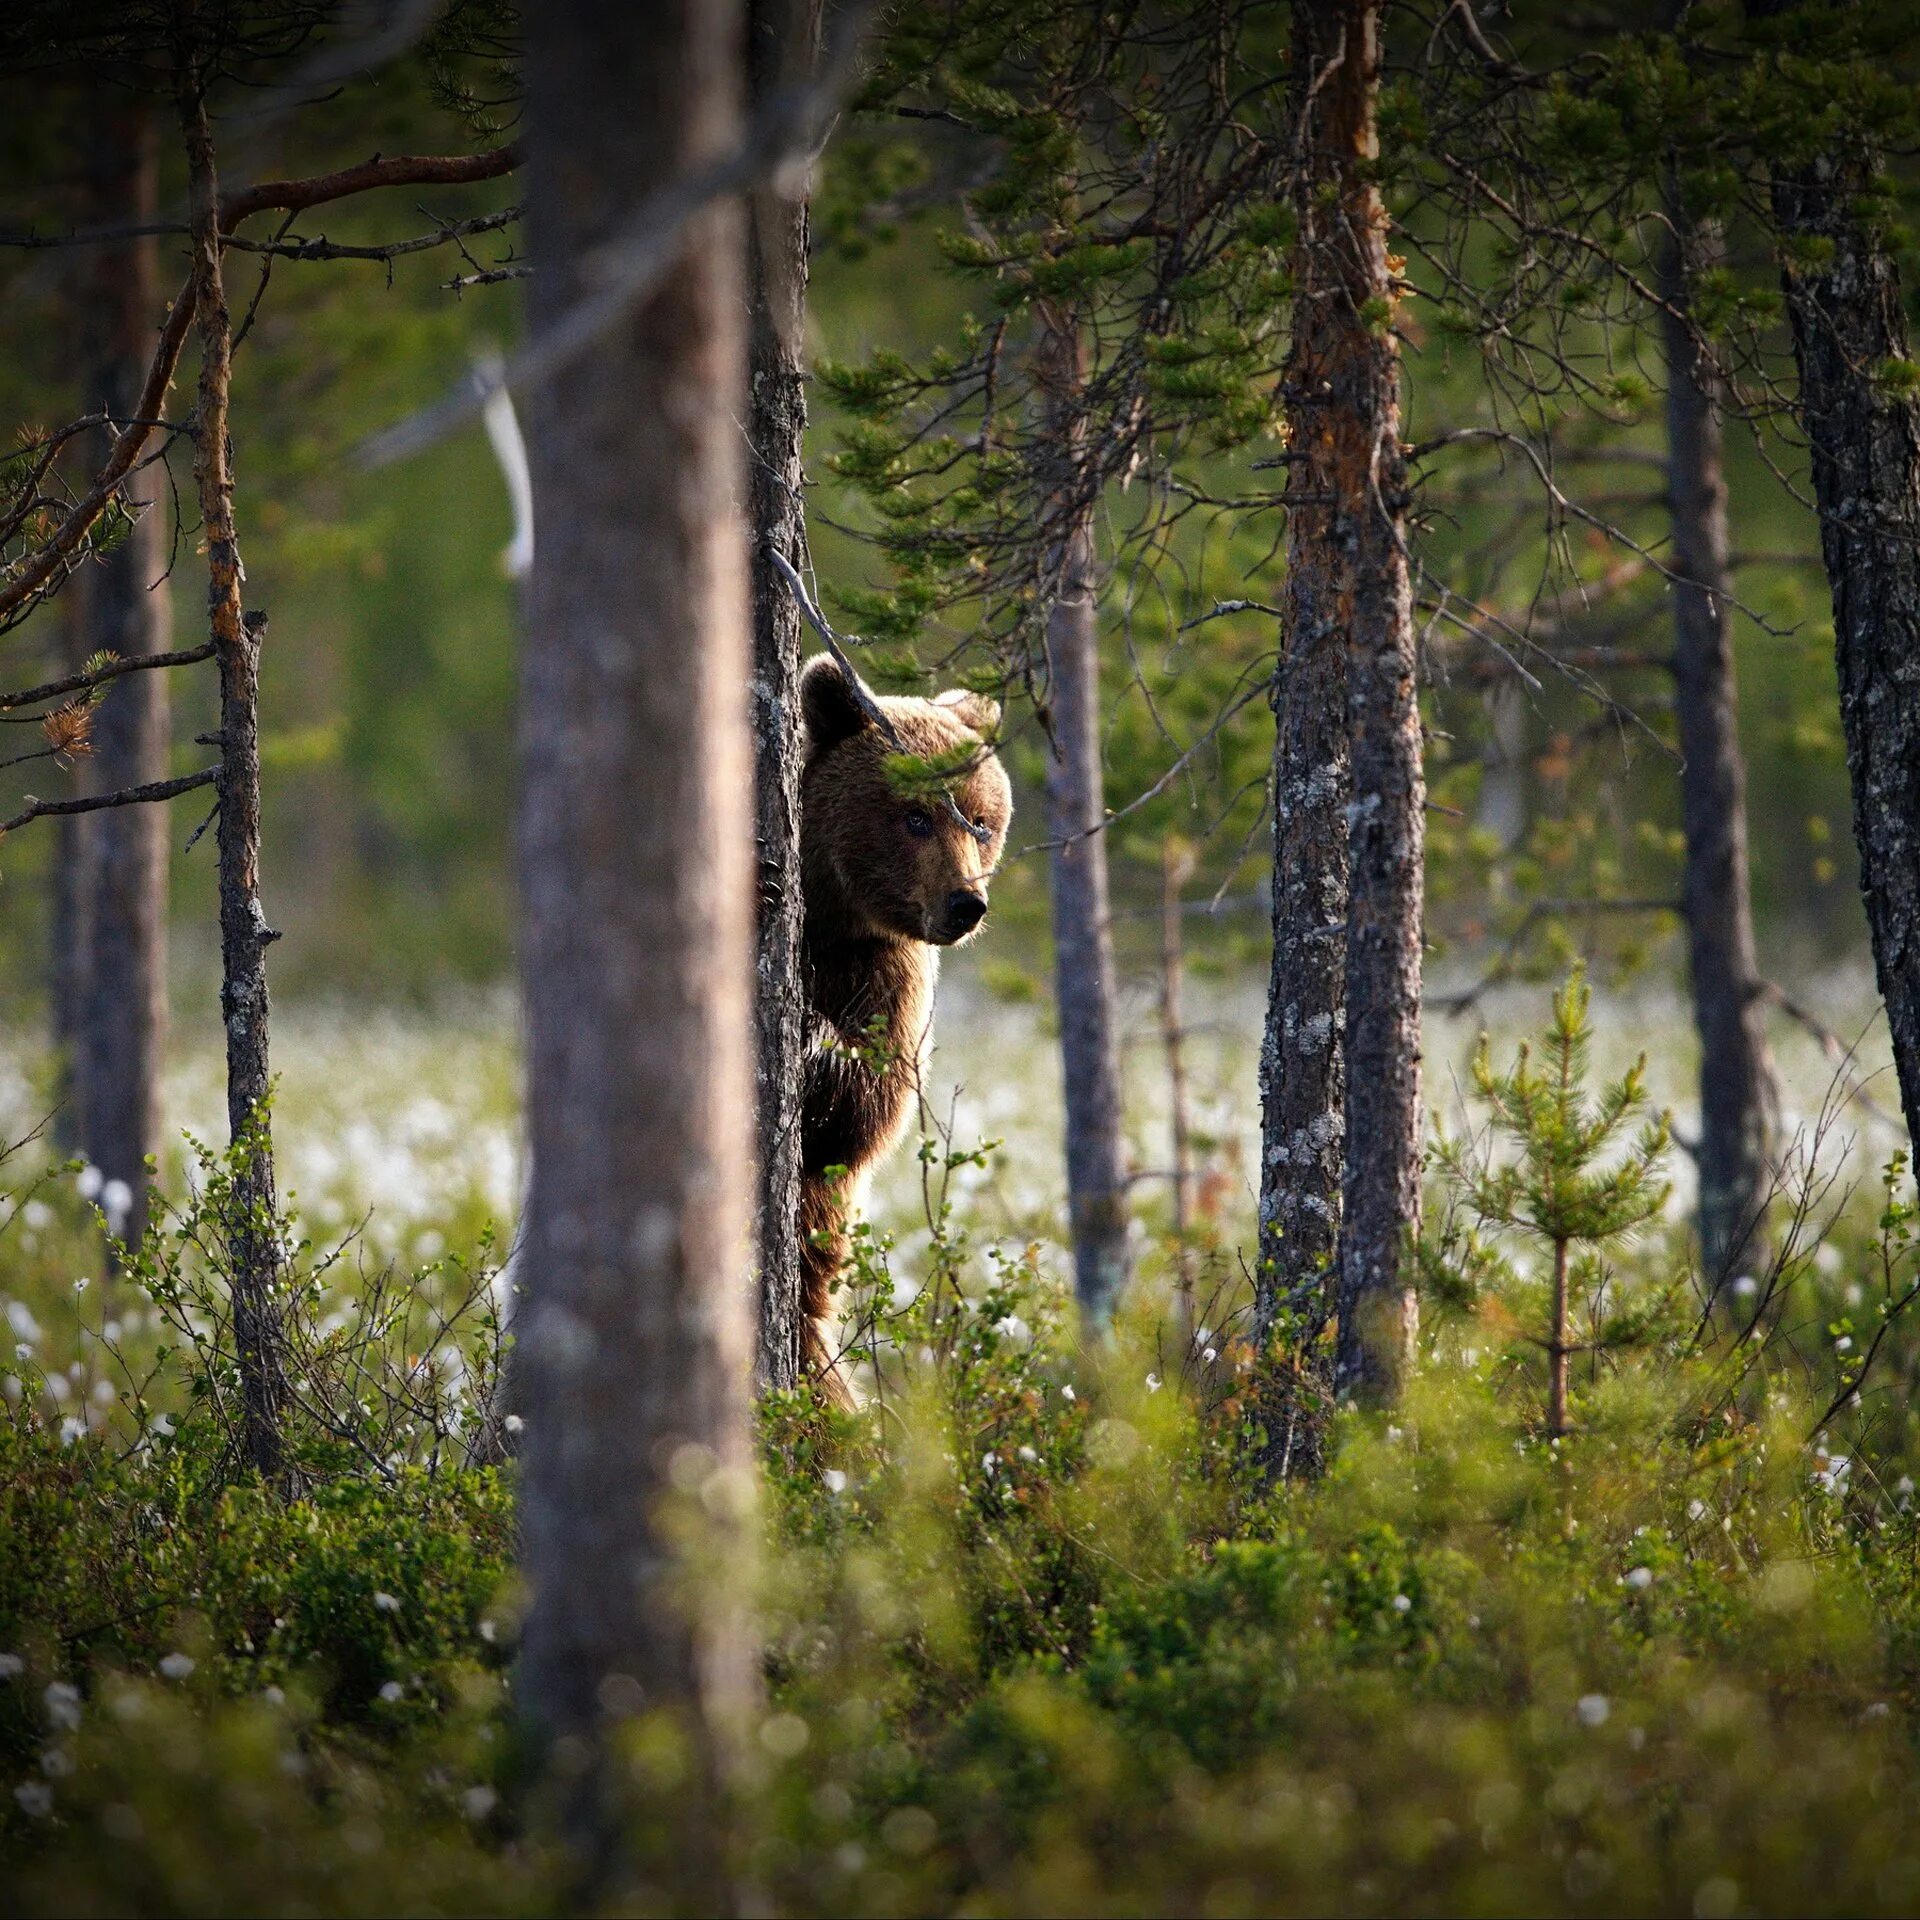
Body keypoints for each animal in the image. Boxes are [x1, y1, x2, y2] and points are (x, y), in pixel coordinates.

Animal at [794, 656, 1013, 1397]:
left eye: (981, 820)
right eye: (915, 816)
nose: (966, 903)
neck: (830, 917)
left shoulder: (890, 974)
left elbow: (871, 1109)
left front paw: (824, 1048)